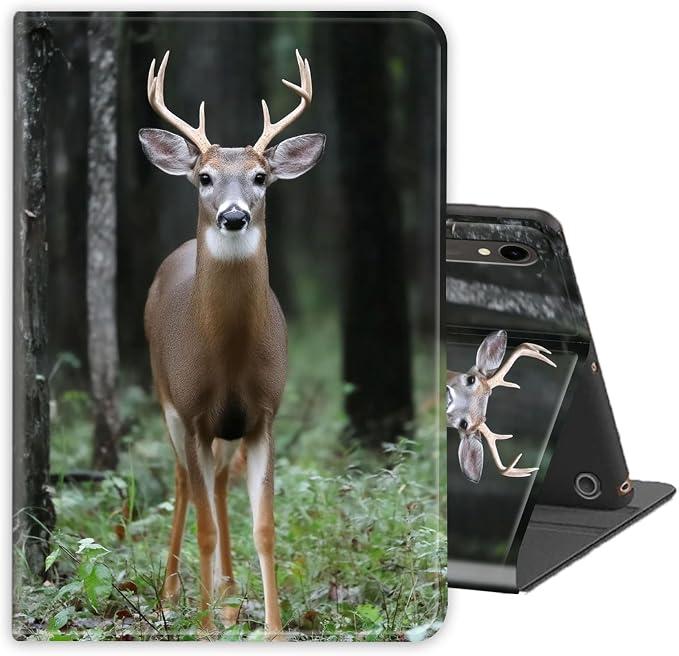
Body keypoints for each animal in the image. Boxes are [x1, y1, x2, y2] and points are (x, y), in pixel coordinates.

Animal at [137, 49, 325, 638]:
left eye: (261, 176)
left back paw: (225, 595)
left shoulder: (264, 414)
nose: (234, 215)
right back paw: (175, 595)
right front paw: (202, 629)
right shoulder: (194, 411)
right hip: (165, 398)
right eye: (204, 177)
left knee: (219, 483)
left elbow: (263, 525)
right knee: (182, 482)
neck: (229, 361)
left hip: (226, 429)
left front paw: (274, 629)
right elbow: (203, 525)